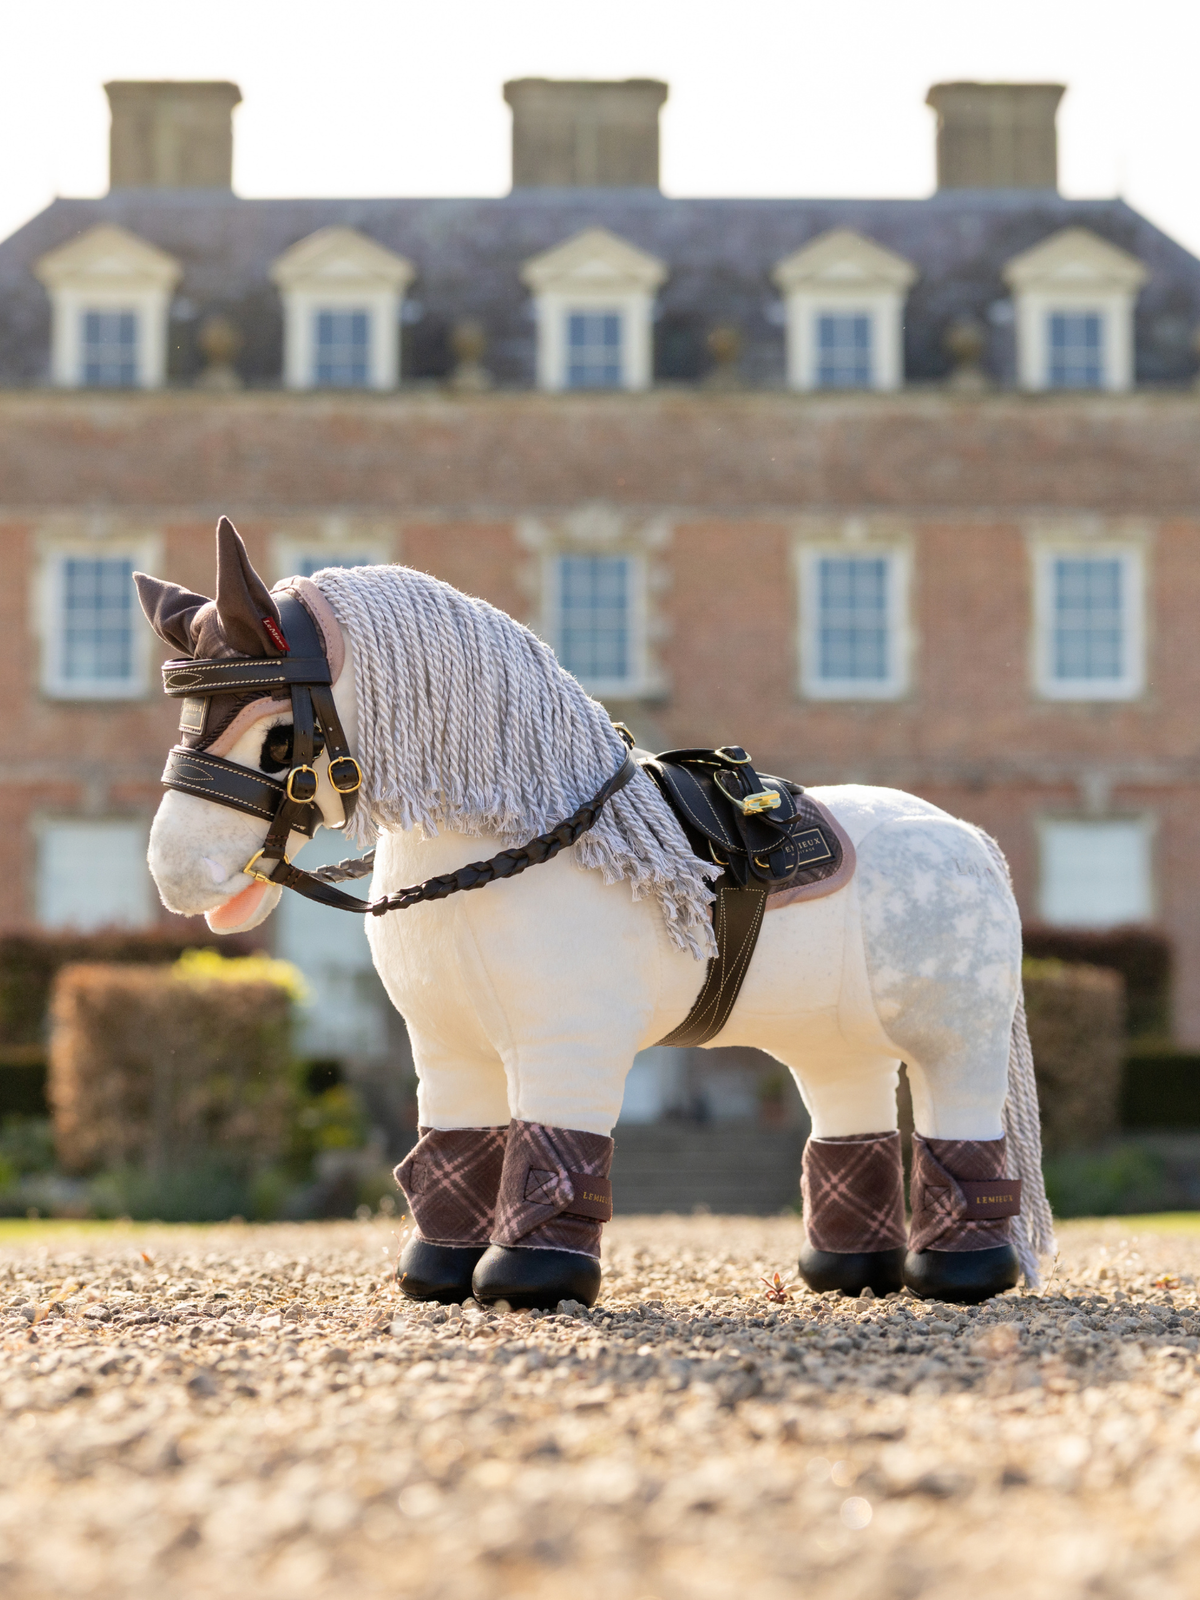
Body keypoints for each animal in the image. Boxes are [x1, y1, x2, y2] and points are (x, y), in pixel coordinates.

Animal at [134, 519, 1053, 1310]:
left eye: (275, 738)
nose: (175, 872)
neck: (516, 841)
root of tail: (970, 837)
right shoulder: (447, 1047)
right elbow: (454, 1152)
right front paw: (437, 1277)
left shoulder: (570, 1040)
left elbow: (556, 1150)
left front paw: (529, 1283)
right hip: (833, 1038)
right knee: (849, 1117)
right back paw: (848, 1274)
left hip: (957, 1036)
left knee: (961, 1124)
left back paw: (959, 1276)